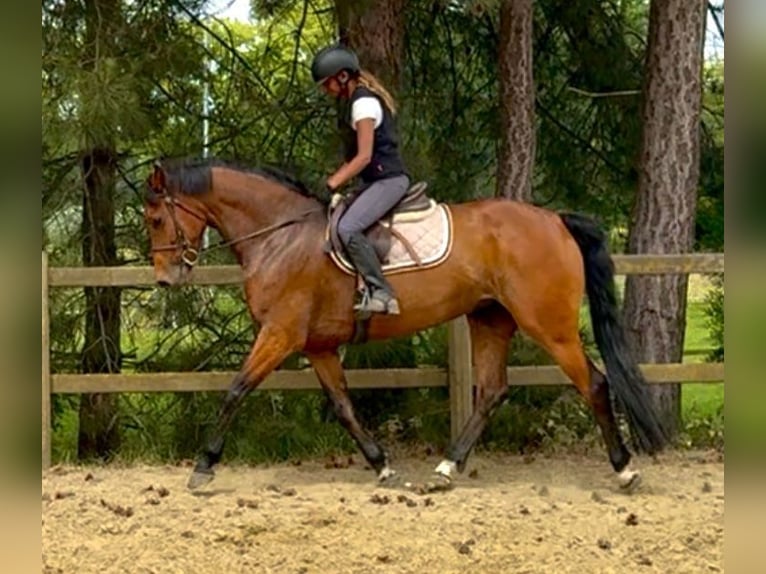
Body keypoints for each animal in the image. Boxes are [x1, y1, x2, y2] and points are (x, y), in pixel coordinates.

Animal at [142, 156, 669, 491]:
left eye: (154, 218)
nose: (166, 279)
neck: (281, 235)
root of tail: (555, 220)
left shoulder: (279, 334)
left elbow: (235, 390)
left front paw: (203, 466)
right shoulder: (318, 346)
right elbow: (344, 407)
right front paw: (381, 466)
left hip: (549, 326)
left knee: (593, 384)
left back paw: (624, 470)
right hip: (489, 319)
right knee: (491, 391)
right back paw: (446, 469)